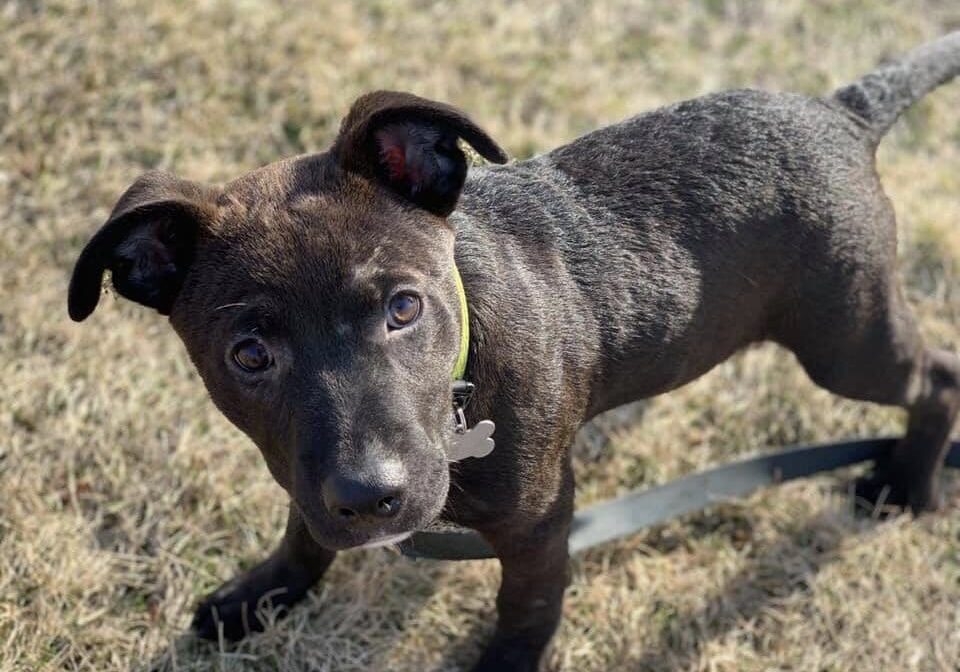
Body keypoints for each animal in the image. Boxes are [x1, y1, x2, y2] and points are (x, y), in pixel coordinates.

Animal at [69, 32, 960, 672]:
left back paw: (906, 485)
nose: (373, 497)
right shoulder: (308, 469)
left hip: (844, 337)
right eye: (249, 355)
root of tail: (842, 112)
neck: (466, 368)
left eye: (403, 309)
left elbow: (526, 608)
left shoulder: (540, 521)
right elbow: (304, 528)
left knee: (938, 378)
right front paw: (263, 596)